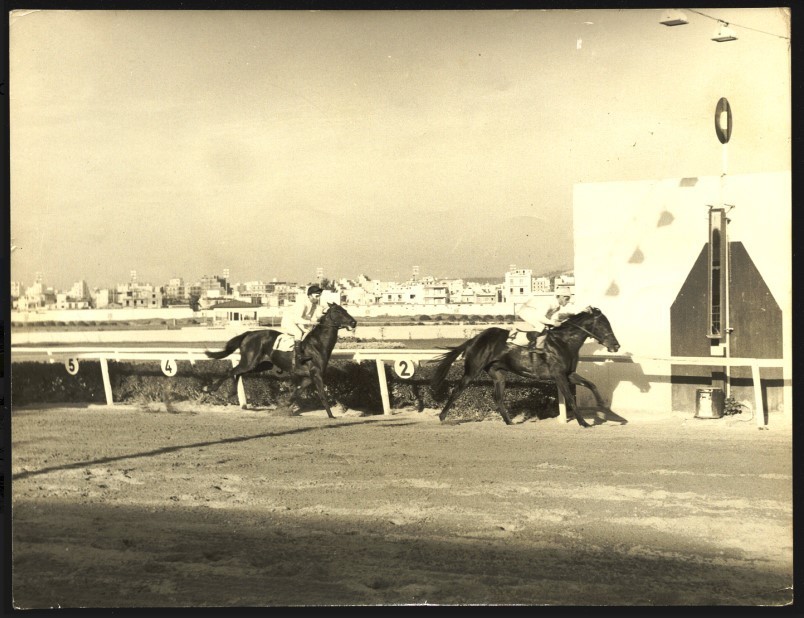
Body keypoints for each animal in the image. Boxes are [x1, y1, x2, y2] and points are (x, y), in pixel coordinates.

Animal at [204, 302, 358, 416]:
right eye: (338, 311)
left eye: (345, 309)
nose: (354, 322)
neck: (318, 344)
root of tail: (248, 334)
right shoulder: (316, 374)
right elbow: (322, 394)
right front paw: (331, 416)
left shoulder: (308, 377)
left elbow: (296, 393)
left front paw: (282, 407)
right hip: (249, 361)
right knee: (231, 371)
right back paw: (211, 388)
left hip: (261, 364)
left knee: (238, 373)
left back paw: (231, 392)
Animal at [430, 306, 620, 426]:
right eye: (603, 325)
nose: (616, 346)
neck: (563, 342)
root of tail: (474, 339)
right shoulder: (558, 375)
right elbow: (570, 398)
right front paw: (584, 423)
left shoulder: (569, 373)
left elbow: (591, 384)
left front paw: (602, 405)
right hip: (472, 370)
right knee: (457, 391)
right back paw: (442, 417)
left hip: (499, 374)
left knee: (497, 397)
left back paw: (509, 421)